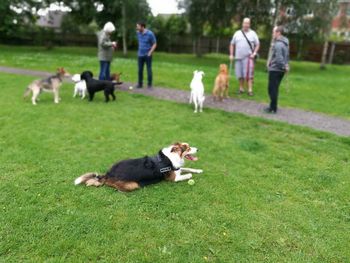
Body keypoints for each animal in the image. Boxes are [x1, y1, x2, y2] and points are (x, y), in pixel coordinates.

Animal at [75, 143, 204, 193]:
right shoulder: (173, 178)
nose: (198, 149)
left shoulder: (178, 169)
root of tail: (108, 174)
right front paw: (191, 177)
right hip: (133, 184)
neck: (173, 156)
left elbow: (189, 169)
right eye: (187, 148)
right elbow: (187, 174)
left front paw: (199, 170)